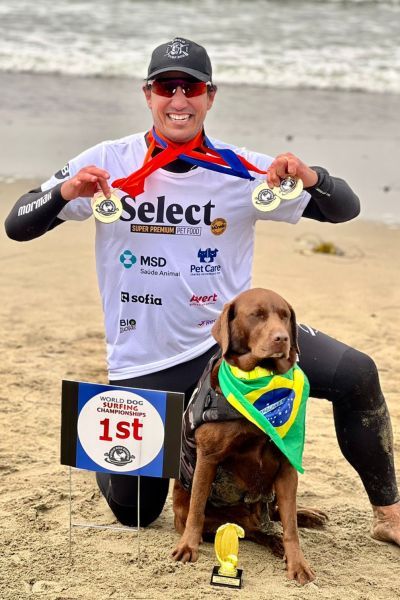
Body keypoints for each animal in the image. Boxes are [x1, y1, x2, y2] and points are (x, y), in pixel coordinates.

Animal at [172, 288, 327, 584]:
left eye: (285, 316)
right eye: (257, 315)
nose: (282, 338)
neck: (259, 381)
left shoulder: (287, 466)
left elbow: (291, 526)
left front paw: (298, 564)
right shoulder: (208, 458)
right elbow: (197, 509)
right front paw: (188, 547)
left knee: (276, 515)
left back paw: (306, 518)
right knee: (253, 529)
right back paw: (273, 541)